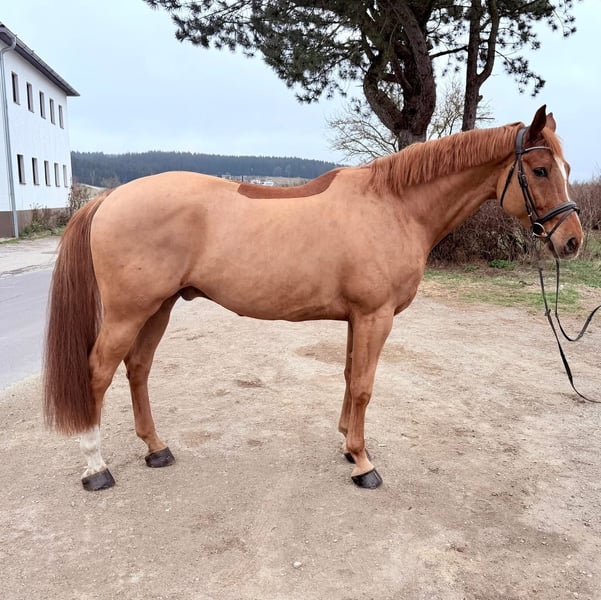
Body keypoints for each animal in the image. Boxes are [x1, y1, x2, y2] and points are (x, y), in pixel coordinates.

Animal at [43, 105, 583, 491]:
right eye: (539, 169)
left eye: (566, 166)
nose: (573, 241)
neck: (394, 206)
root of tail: (108, 197)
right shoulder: (375, 317)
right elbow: (364, 386)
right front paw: (363, 464)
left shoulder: (356, 318)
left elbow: (348, 377)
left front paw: (347, 445)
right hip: (128, 312)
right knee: (98, 372)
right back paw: (96, 468)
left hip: (159, 307)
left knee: (137, 369)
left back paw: (156, 449)